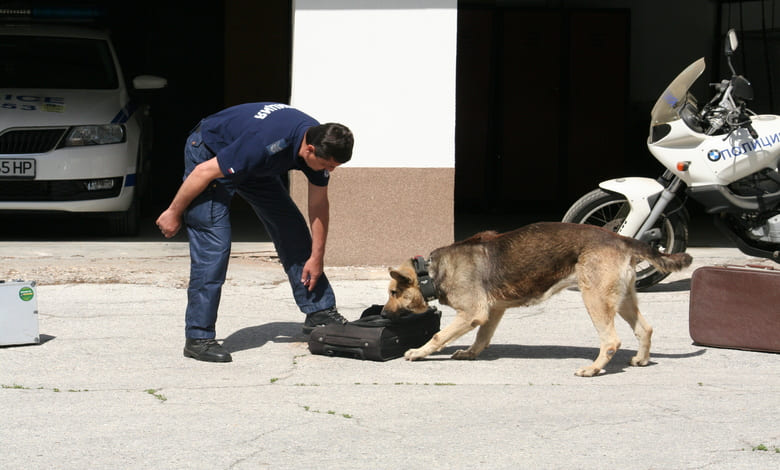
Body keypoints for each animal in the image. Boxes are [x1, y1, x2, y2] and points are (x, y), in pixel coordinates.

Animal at [380, 222, 692, 376]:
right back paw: (641, 360)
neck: (430, 273)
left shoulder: (472, 313)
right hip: (622, 298)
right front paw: (470, 353)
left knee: (612, 341)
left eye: (393, 293)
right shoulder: (492, 312)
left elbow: (438, 337)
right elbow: (482, 338)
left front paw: (418, 352)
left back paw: (593, 369)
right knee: (645, 328)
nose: (383, 314)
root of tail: (623, 239)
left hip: (595, 297)